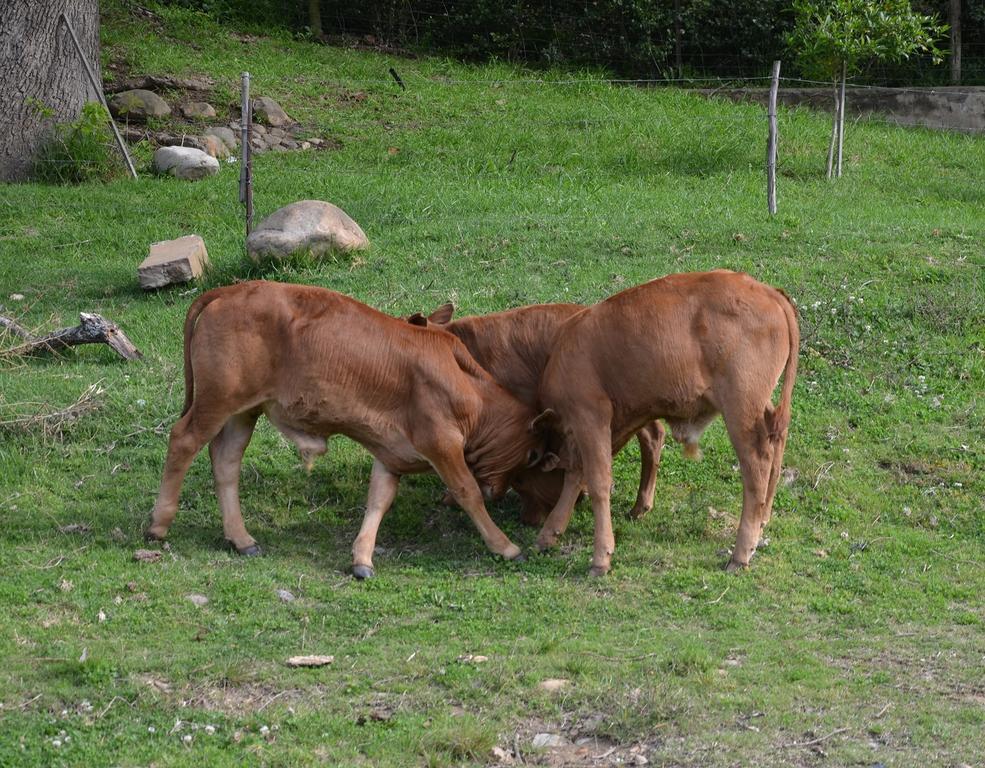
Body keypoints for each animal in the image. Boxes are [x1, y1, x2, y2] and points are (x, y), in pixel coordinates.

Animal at [143, 280, 548, 576]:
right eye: (531, 454)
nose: (501, 489)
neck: (471, 389)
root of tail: (227, 290)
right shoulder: (440, 442)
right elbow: (467, 492)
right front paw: (505, 545)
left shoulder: (392, 450)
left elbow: (378, 499)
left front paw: (362, 558)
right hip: (216, 401)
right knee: (183, 441)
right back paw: (158, 524)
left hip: (243, 411)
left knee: (226, 461)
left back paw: (241, 538)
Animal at [532, 270, 800, 576]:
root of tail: (768, 291)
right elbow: (578, 473)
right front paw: (549, 533)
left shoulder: (589, 417)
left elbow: (597, 480)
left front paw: (600, 557)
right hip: (758, 407)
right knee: (776, 441)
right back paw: (763, 519)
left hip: (740, 409)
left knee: (757, 466)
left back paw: (741, 553)